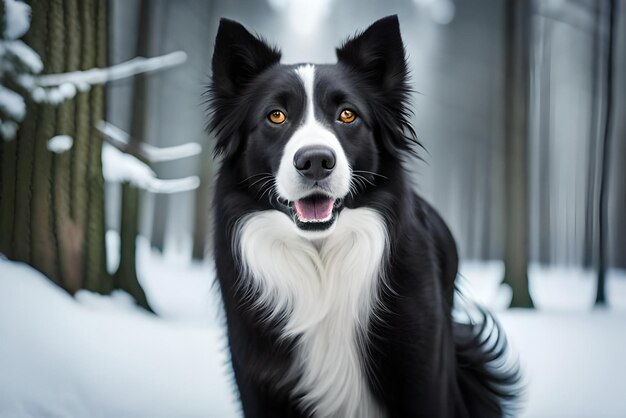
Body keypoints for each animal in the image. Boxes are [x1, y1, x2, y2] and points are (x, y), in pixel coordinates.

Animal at [206, 14, 516, 416]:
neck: (322, 262)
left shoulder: (422, 372)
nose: (316, 161)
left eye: (347, 114)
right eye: (276, 116)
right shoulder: (257, 382)